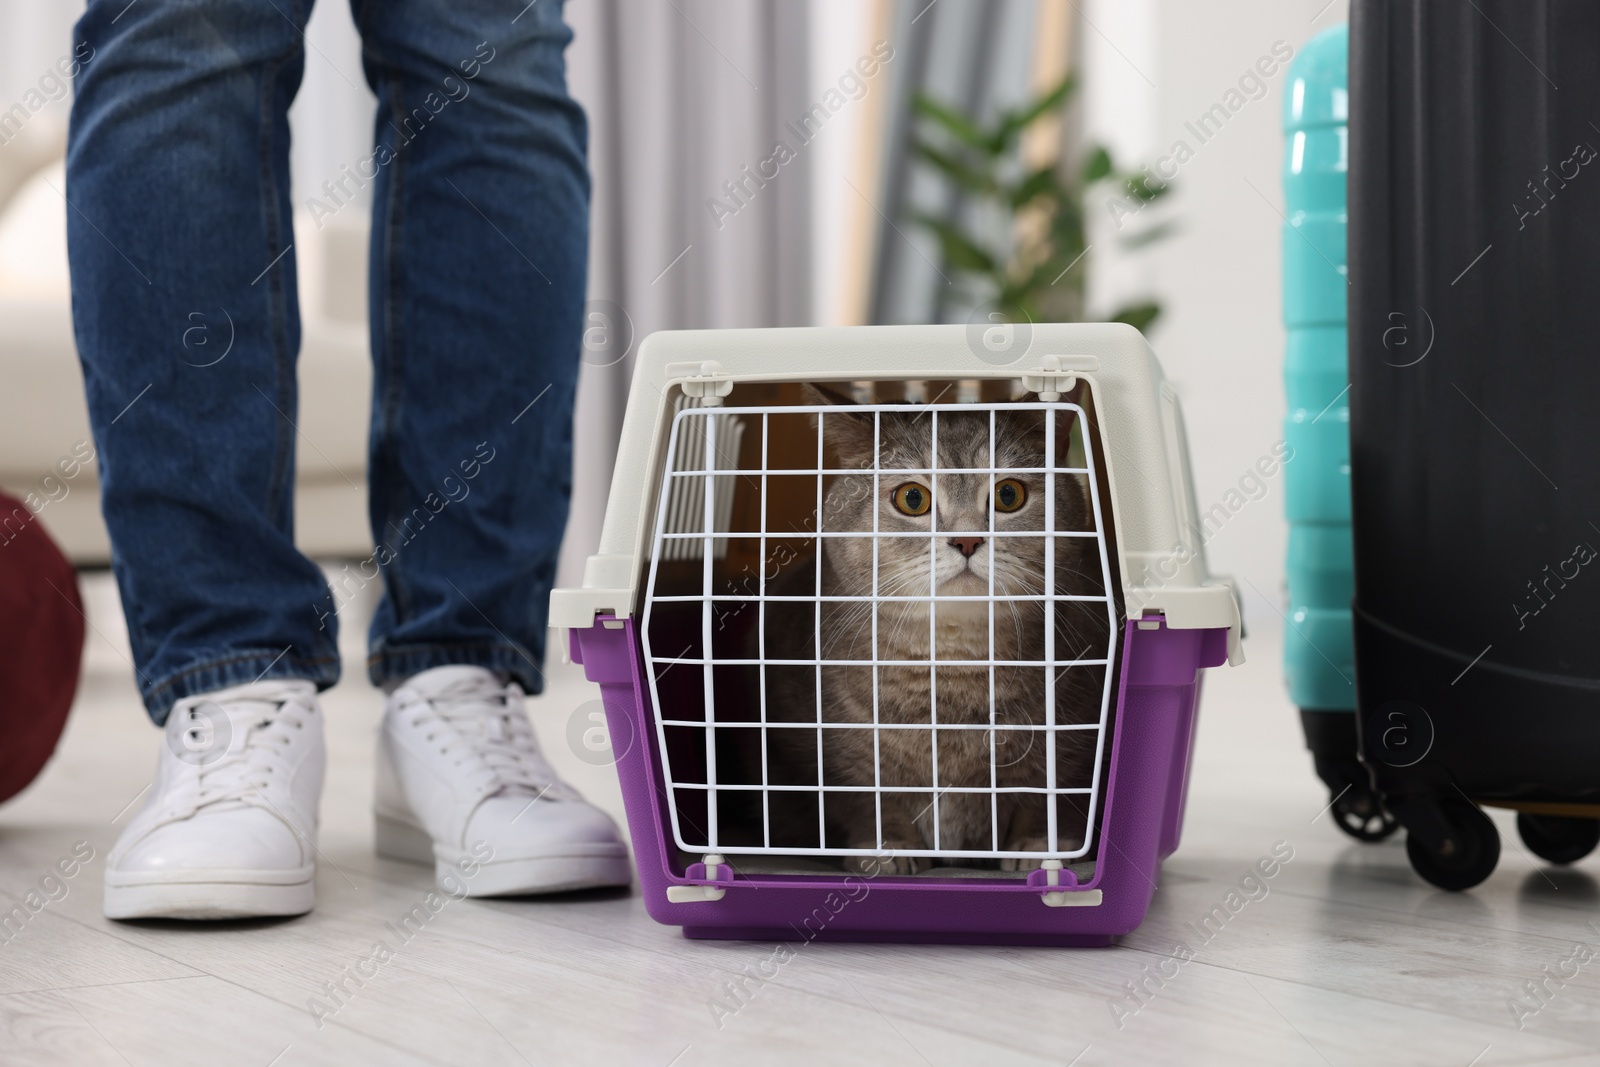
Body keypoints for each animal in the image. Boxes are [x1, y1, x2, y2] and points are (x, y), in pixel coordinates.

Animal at [764, 388, 1113, 870]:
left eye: (1008, 494)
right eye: (913, 498)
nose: (966, 540)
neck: (954, 663)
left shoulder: (1075, 739)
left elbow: (1048, 796)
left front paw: (1039, 846)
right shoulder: (832, 759)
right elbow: (871, 800)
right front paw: (888, 849)